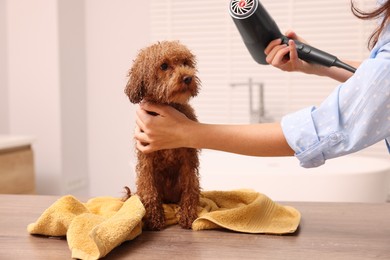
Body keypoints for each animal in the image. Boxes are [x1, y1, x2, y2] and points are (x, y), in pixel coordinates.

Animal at [125, 40, 201, 230]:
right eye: (164, 66)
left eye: (186, 63)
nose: (187, 78)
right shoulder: (146, 161)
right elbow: (149, 191)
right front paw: (153, 218)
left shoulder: (188, 159)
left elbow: (190, 188)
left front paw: (188, 216)